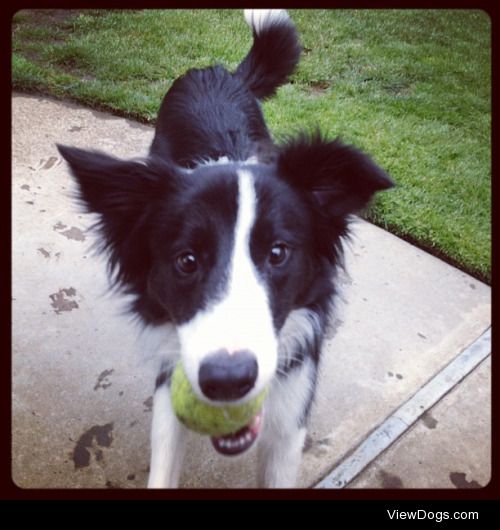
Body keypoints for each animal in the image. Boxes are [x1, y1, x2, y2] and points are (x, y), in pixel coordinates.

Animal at [57, 9, 394, 486]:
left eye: (277, 252)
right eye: (187, 260)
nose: (228, 380)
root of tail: (215, 71)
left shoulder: (290, 413)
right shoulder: (172, 377)